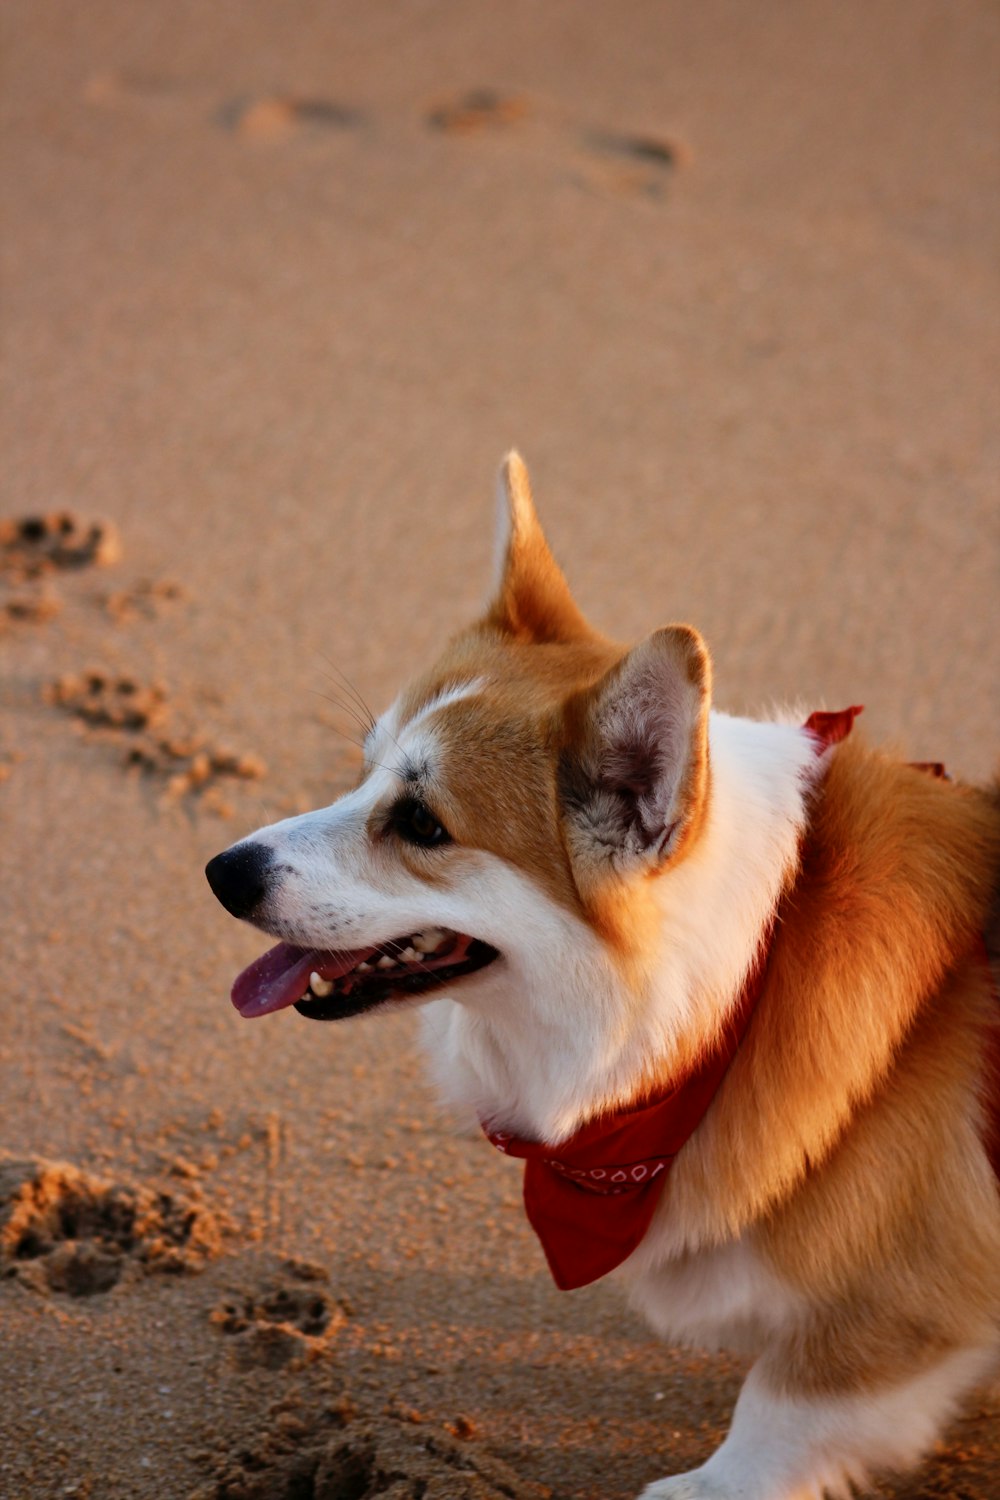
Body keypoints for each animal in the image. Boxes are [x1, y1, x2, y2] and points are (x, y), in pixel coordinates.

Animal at [205, 456, 1000, 1500]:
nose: (222, 873)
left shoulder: (898, 1304)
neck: (747, 985)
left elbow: (781, 1411)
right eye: (364, 768)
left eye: (422, 823)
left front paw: (708, 1486)